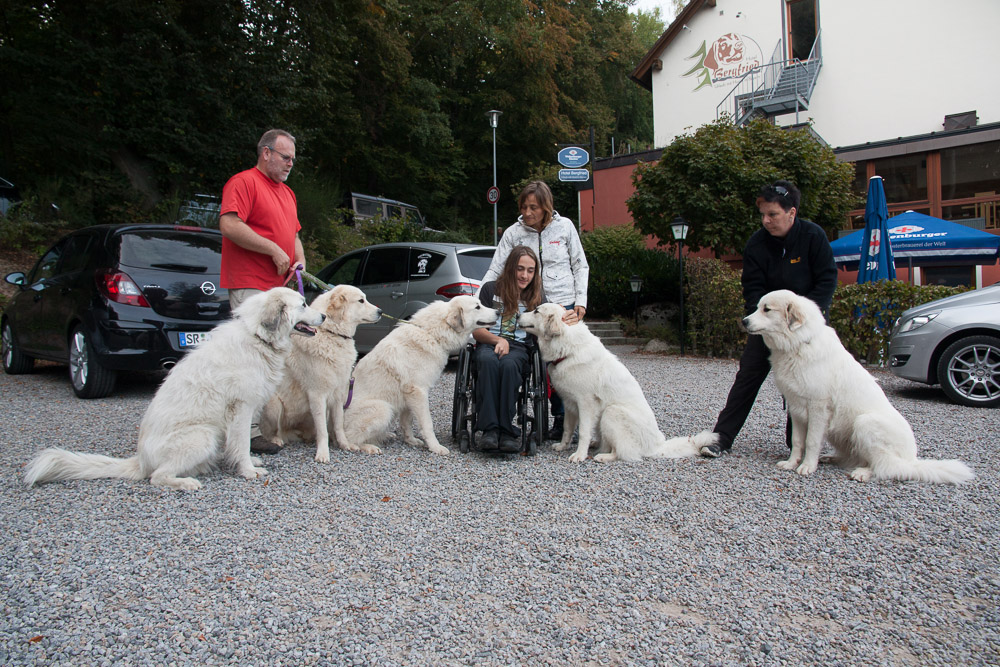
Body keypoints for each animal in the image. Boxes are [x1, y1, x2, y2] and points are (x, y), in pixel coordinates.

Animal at [24, 288, 324, 490]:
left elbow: (242, 443)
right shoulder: (241, 408)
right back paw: (187, 483)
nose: (322, 315)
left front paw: (251, 461)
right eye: (303, 304)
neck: (258, 338)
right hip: (202, 436)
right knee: (157, 477)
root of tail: (140, 460)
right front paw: (248, 470)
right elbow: (240, 442)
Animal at [258, 284, 382, 462]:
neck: (331, 333)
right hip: (274, 405)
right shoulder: (317, 395)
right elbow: (323, 429)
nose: (380, 311)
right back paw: (276, 440)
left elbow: (338, 424)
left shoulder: (338, 394)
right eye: (361, 300)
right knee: (269, 431)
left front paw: (345, 445)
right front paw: (323, 453)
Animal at [342, 296, 498, 456]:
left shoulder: (409, 396)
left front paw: (410, 440)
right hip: (383, 409)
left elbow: (407, 421)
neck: (432, 333)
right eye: (477, 307)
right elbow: (427, 423)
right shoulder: (418, 392)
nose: (498, 312)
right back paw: (369, 447)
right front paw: (435, 447)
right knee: (349, 439)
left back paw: (385, 435)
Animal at [520, 304, 700, 464]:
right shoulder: (569, 402)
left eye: (536, 311)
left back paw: (603, 456)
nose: (518, 315)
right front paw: (563, 446)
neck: (568, 349)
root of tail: (656, 446)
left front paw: (579, 455)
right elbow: (567, 428)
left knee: (623, 451)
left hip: (611, 412)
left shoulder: (585, 403)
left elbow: (583, 431)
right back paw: (596, 444)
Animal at [748, 288, 972, 486]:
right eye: (758, 307)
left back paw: (863, 473)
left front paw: (807, 466)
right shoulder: (796, 409)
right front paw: (791, 463)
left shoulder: (818, 407)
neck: (798, 344)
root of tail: (912, 460)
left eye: (767, 309)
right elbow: (797, 441)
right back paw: (831, 458)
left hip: (865, 423)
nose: (744, 321)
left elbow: (811, 441)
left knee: (886, 466)